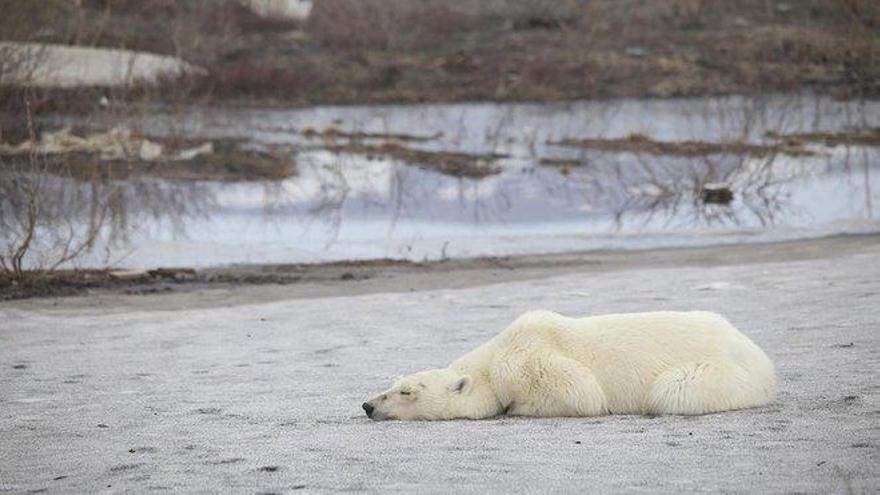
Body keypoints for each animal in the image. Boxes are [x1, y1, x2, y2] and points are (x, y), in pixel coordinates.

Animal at [364, 312, 776, 420]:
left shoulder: (531, 358)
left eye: (406, 391)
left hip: (720, 372)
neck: (493, 360)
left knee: (673, 391)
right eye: (393, 383)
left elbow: (583, 393)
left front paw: (516, 407)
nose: (368, 405)